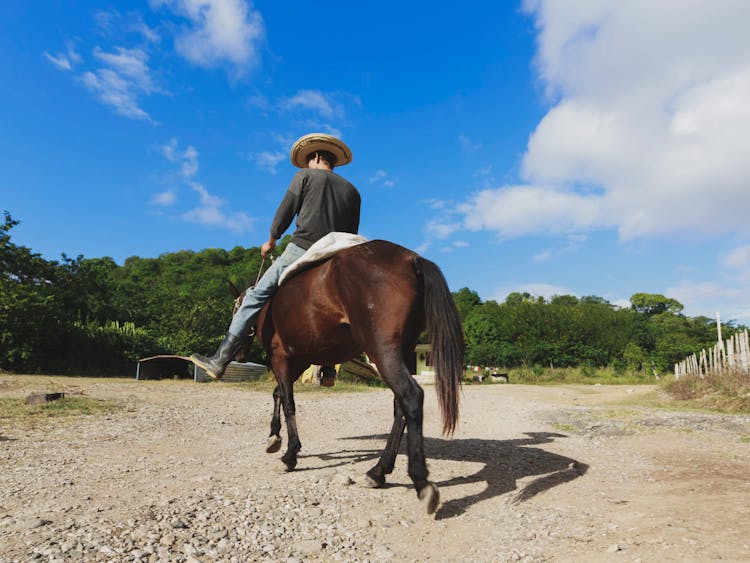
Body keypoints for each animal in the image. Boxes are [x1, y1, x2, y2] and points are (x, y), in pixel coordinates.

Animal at [235, 239, 464, 516]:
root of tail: (411, 259)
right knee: (400, 407)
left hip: (382, 350)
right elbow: (278, 393)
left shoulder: (281, 357)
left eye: (237, 307)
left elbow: (289, 402)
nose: (240, 353)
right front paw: (274, 437)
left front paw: (290, 454)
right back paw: (378, 471)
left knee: (410, 396)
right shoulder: (298, 361)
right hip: (403, 349)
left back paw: (419, 480)